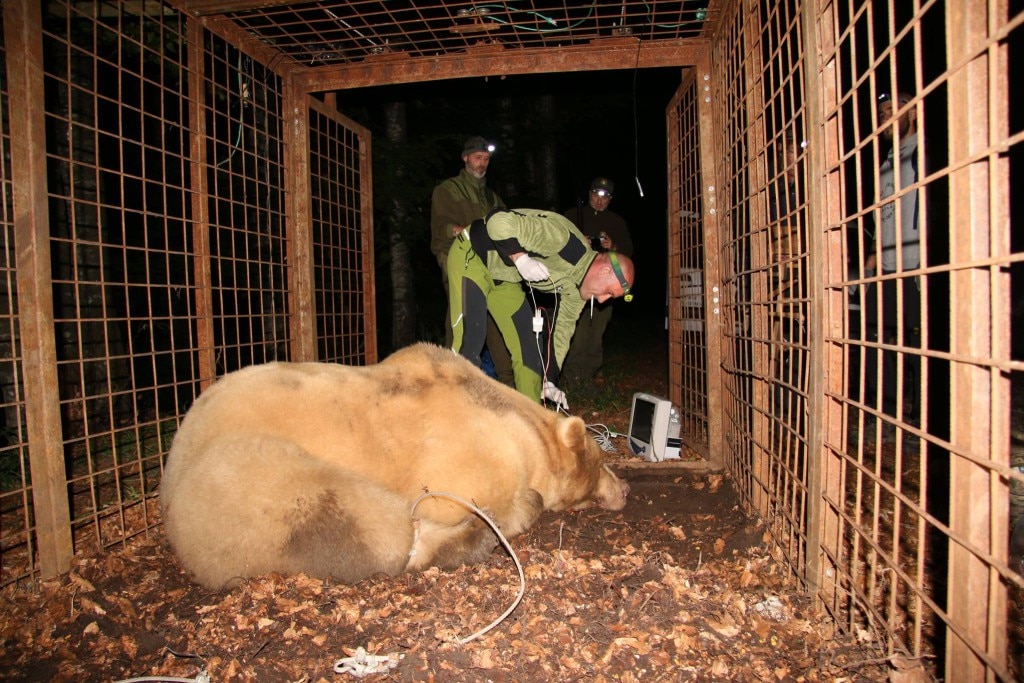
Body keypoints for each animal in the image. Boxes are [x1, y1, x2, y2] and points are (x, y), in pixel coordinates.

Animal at [157, 344, 630, 589]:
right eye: (602, 461)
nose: (625, 488)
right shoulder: (468, 451)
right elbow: (453, 495)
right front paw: (517, 505)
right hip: (234, 482)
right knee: (348, 514)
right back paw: (477, 535)